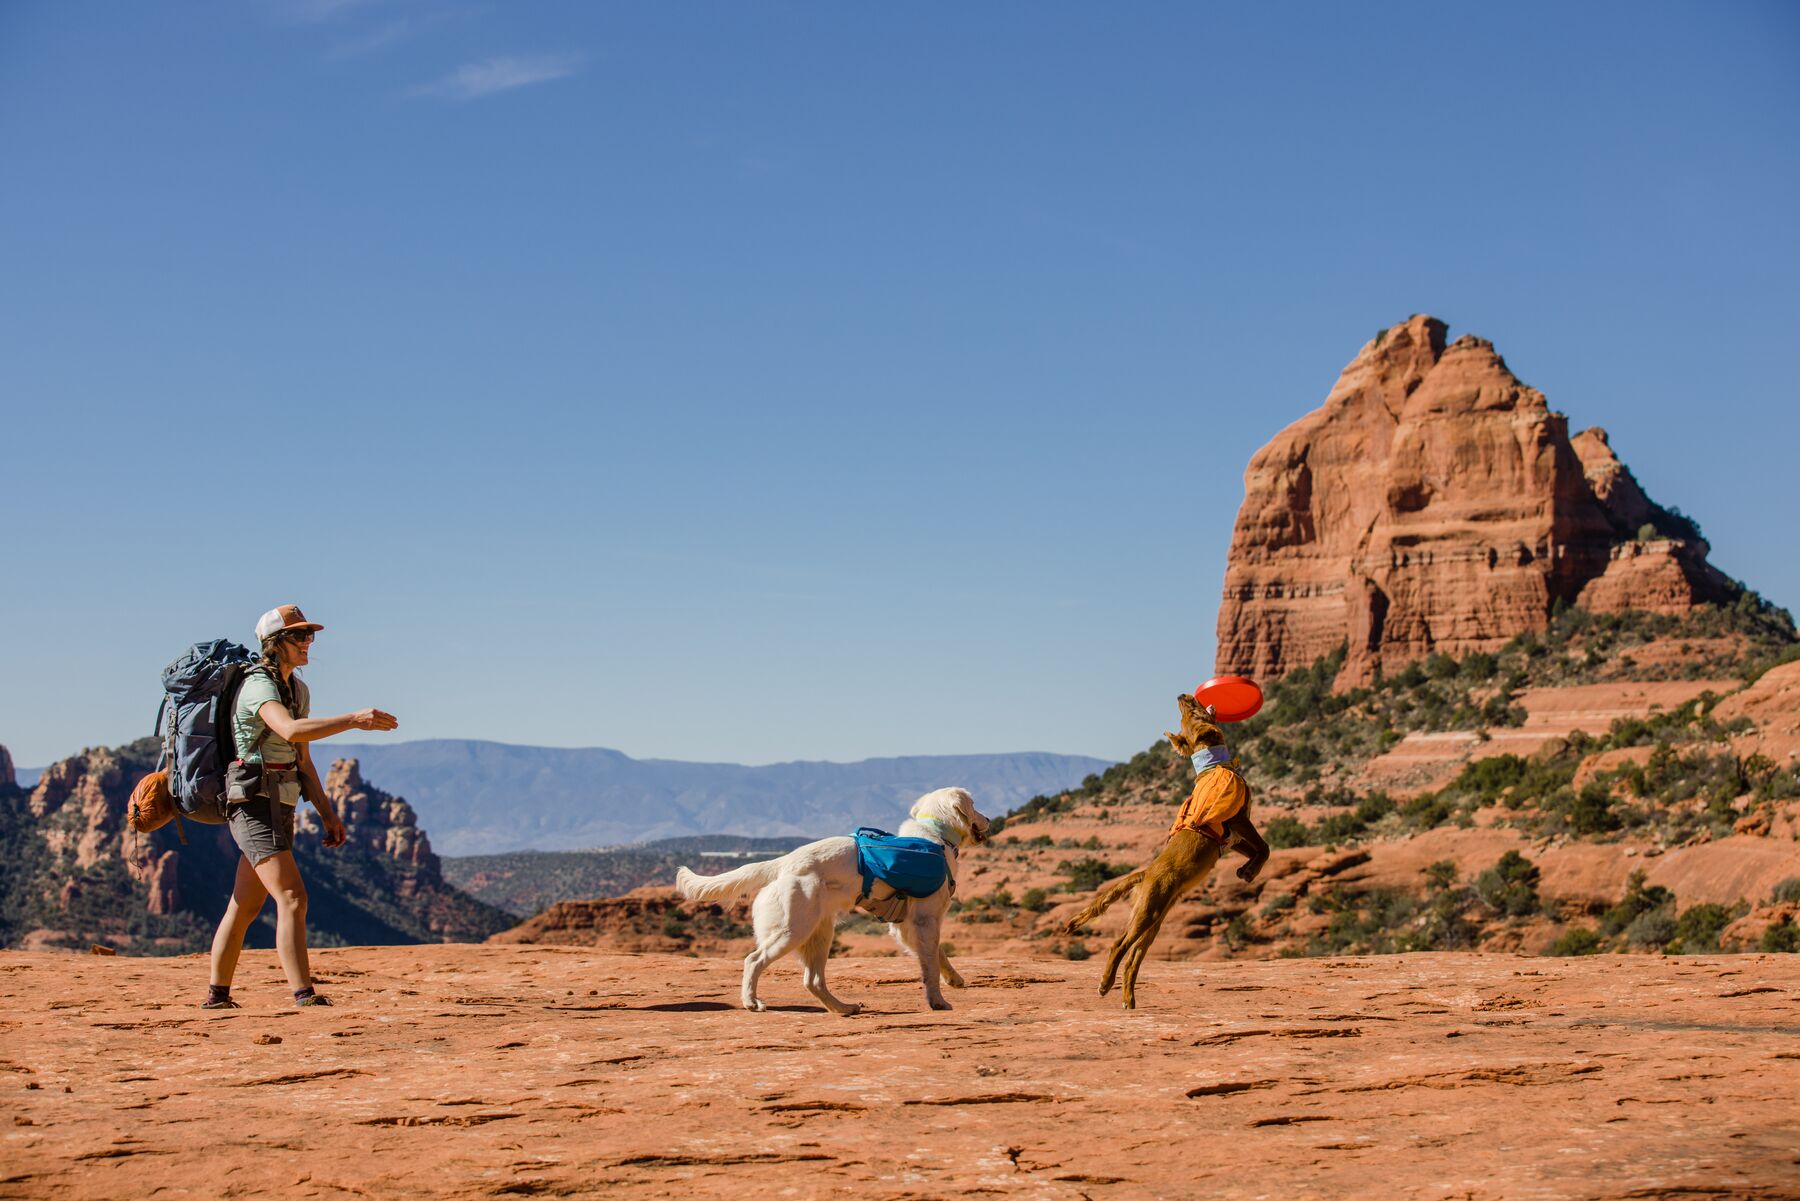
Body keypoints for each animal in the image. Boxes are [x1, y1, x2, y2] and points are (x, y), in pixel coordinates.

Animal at [676, 788, 993, 1015]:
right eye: (974, 804)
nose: (989, 819)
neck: (934, 838)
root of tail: (782, 863)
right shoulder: (925, 920)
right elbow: (930, 965)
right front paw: (938, 1001)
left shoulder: (906, 926)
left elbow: (937, 955)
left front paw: (954, 979)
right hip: (795, 929)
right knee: (754, 960)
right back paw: (751, 1002)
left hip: (821, 932)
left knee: (812, 981)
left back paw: (843, 1008)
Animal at [1058, 691, 1274, 1008]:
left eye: (1190, 712)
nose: (1182, 695)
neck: (1214, 766)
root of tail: (1146, 873)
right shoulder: (1238, 820)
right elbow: (1265, 846)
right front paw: (1250, 871)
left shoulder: (1233, 838)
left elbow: (1257, 849)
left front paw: (1247, 869)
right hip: (1148, 913)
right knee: (1119, 946)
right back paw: (1105, 984)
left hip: (1154, 921)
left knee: (1132, 960)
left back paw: (1129, 999)